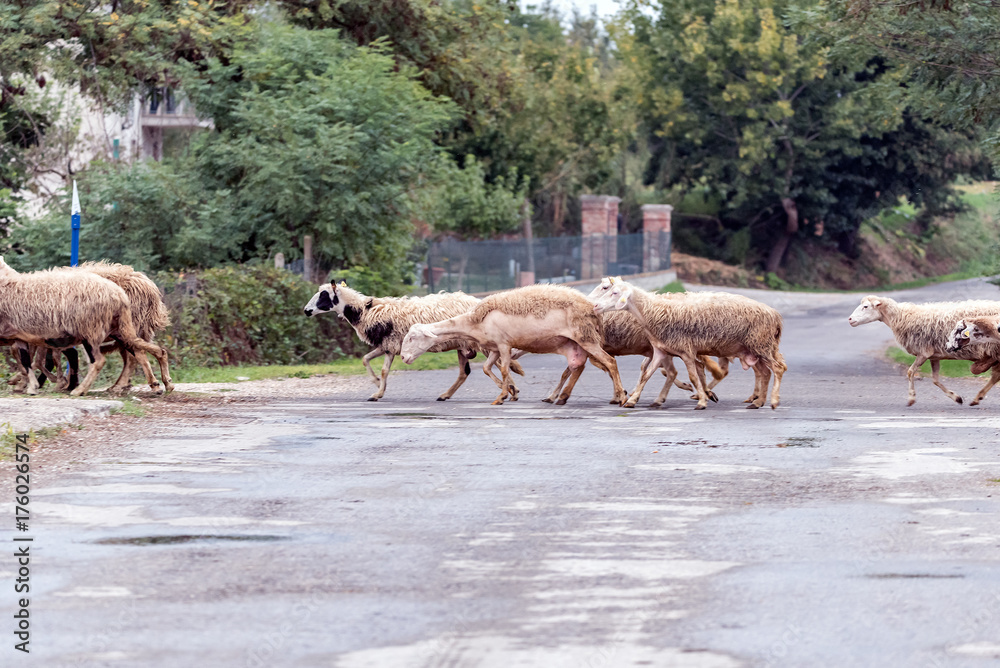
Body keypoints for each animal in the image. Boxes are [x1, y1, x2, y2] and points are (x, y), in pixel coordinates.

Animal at [0, 259, 171, 396]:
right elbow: (31, 358)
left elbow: (37, 359)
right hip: (123, 330)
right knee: (139, 352)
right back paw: (158, 384)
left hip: (107, 329)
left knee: (125, 358)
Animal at [303, 281, 524, 401]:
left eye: (324, 295)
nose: (306, 311)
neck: (364, 311)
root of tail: (477, 302)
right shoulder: (386, 345)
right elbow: (365, 359)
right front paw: (376, 384)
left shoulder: (391, 345)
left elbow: (384, 370)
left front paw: (377, 392)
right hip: (463, 345)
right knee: (465, 372)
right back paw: (445, 395)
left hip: (478, 342)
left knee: (499, 362)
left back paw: (512, 390)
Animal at [401, 284, 628, 406]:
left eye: (412, 338)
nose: (403, 358)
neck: (474, 321)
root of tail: (592, 309)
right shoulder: (494, 347)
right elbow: (487, 368)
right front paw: (508, 391)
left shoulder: (504, 344)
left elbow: (503, 368)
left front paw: (503, 394)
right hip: (573, 342)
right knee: (577, 365)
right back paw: (562, 397)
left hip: (585, 337)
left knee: (610, 362)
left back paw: (621, 398)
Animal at [591, 278, 785, 410]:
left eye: (612, 291)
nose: (595, 306)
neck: (653, 311)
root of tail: (775, 315)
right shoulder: (660, 351)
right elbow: (647, 374)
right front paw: (631, 399)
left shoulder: (686, 351)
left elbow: (692, 375)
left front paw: (702, 400)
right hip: (753, 349)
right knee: (764, 373)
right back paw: (758, 401)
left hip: (761, 345)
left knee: (777, 369)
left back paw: (773, 401)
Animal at [848, 295, 1000, 406]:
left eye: (866, 306)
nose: (850, 319)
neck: (901, 317)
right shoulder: (934, 355)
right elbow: (935, 380)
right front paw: (956, 397)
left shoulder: (923, 352)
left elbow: (910, 372)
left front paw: (911, 398)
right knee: (995, 376)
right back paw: (977, 397)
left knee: (994, 375)